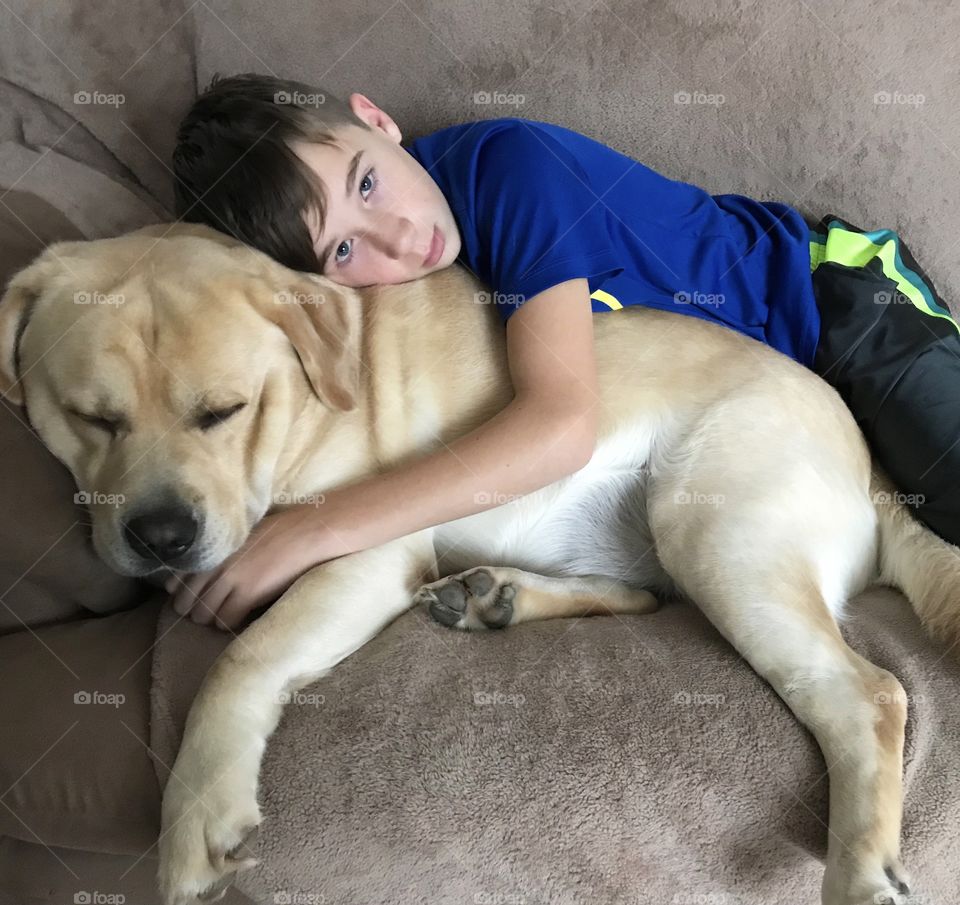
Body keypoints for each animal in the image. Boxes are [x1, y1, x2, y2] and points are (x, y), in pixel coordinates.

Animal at [1, 221, 960, 904]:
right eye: (92, 417)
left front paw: (197, 811)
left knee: (870, 692)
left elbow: (240, 659)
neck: (313, 382)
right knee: (643, 599)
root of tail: (873, 464)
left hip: (718, 528)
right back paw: (497, 595)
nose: (161, 536)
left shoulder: (365, 551)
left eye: (222, 411)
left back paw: (861, 869)